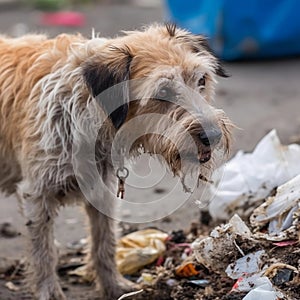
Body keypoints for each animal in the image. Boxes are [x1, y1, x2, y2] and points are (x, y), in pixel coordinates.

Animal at [0, 24, 232, 298]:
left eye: (202, 80)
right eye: (163, 91)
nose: (213, 136)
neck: (85, 107)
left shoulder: (102, 191)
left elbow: (105, 242)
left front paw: (115, 286)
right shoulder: (37, 195)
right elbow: (43, 251)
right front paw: (49, 292)